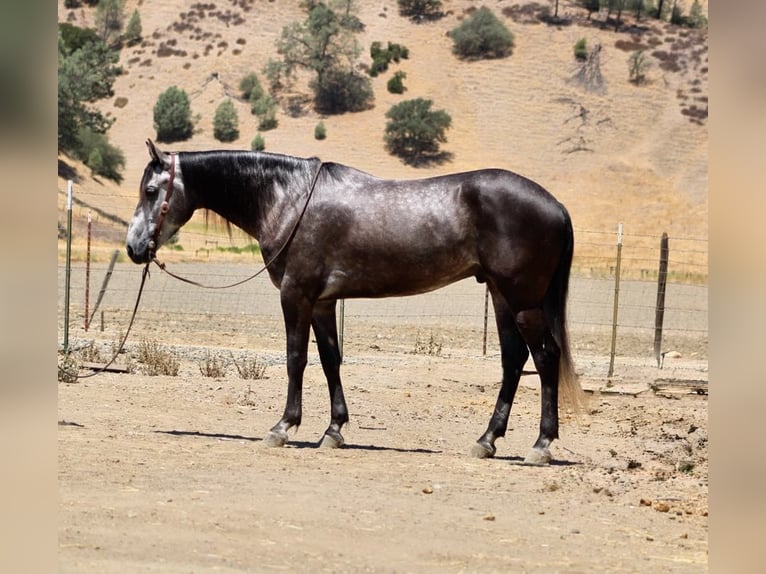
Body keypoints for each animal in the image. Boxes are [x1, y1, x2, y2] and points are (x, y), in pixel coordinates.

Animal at [126, 139, 580, 464]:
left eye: (150, 190)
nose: (133, 248)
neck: (290, 199)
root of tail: (557, 206)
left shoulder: (296, 295)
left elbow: (295, 358)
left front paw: (283, 427)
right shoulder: (323, 303)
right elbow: (331, 361)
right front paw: (334, 431)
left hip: (522, 301)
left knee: (544, 357)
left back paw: (540, 445)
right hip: (502, 297)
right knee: (513, 361)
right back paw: (486, 440)